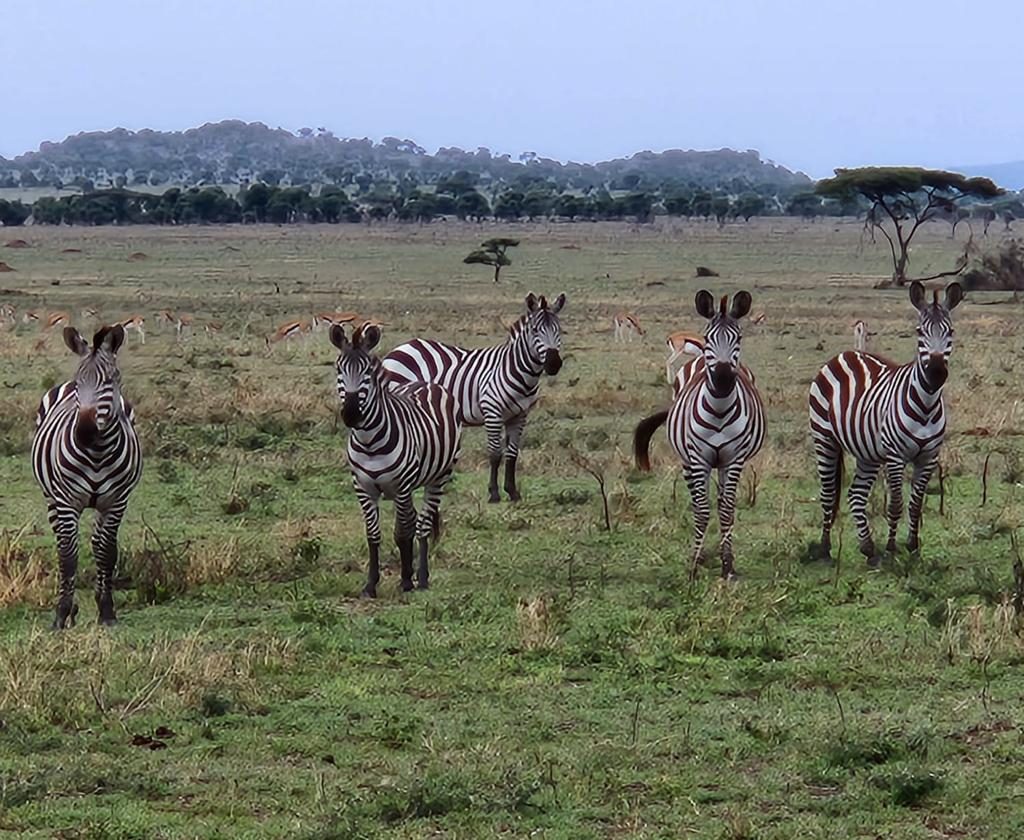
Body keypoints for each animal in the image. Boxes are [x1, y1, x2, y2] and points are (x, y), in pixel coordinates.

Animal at [32, 325, 143, 628]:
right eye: (80, 382)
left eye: (109, 381)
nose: (83, 432)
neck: (97, 452)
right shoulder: (66, 501)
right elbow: (68, 555)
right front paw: (62, 612)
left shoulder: (116, 502)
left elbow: (106, 552)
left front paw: (106, 610)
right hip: (51, 498)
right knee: (61, 541)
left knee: (96, 542)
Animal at [330, 322, 462, 597]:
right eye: (339, 369)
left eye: (368, 372)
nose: (351, 414)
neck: (369, 441)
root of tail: (427, 382)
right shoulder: (363, 488)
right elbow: (373, 535)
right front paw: (371, 584)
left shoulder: (401, 485)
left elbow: (402, 534)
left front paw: (405, 581)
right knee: (414, 520)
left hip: (440, 476)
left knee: (421, 525)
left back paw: (421, 577)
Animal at [382, 292, 565, 503]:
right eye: (535, 330)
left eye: (559, 330)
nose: (553, 363)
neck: (515, 368)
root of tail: (401, 347)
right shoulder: (492, 411)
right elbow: (495, 453)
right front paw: (494, 493)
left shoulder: (519, 416)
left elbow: (512, 454)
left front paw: (512, 492)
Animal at [634, 290, 764, 578]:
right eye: (708, 338)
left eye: (738, 338)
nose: (724, 379)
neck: (719, 410)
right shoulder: (698, 458)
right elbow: (702, 510)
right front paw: (694, 563)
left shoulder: (733, 459)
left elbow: (726, 510)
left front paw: (728, 565)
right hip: (688, 461)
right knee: (696, 500)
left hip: (723, 464)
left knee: (722, 500)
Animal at [808, 281, 963, 567]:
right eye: (919, 332)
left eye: (951, 331)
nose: (936, 373)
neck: (926, 406)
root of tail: (847, 353)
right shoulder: (895, 456)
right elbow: (896, 505)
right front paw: (892, 549)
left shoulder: (929, 457)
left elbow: (915, 505)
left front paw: (913, 548)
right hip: (824, 439)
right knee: (828, 494)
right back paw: (824, 549)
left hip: (867, 452)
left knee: (856, 495)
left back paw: (868, 548)